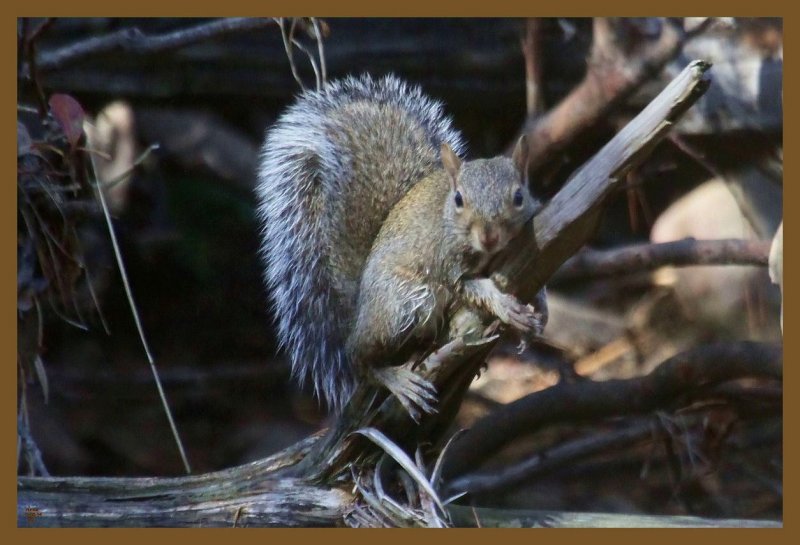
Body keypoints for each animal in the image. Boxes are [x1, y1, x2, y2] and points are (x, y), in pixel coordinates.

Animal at [260, 74, 548, 418]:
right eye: (458, 199)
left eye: (519, 196)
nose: (488, 236)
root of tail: (358, 310)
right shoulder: (446, 263)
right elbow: (470, 287)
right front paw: (505, 305)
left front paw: (540, 307)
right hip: (402, 300)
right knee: (360, 358)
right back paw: (396, 379)